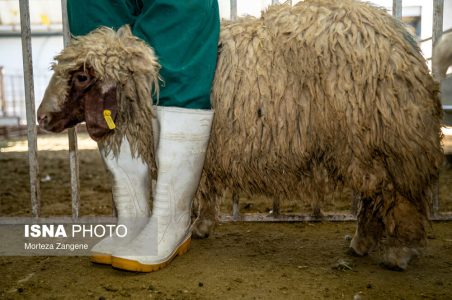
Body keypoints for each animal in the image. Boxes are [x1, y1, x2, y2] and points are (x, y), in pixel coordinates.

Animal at [38, 0, 442, 270]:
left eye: (82, 76)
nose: (41, 118)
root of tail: (403, 39)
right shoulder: (212, 151)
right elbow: (202, 188)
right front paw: (199, 226)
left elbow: (198, 188)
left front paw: (194, 227)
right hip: (367, 145)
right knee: (375, 196)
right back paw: (361, 244)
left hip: (374, 139)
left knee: (394, 196)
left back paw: (398, 252)